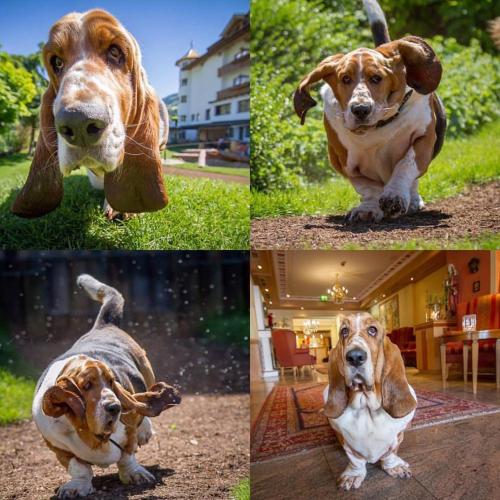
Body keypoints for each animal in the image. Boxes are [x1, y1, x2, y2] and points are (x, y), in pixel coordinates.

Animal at [31, 276, 180, 498]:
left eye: (111, 381)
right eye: (86, 385)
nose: (115, 407)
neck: (89, 432)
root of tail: (103, 325)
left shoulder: (128, 433)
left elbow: (127, 455)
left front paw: (135, 475)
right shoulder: (57, 447)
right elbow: (79, 467)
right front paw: (77, 487)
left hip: (146, 370)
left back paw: (144, 431)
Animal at [292, 0, 446, 223]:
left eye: (376, 78)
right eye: (345, 79)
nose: (360, 109)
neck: (377, 129)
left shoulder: (423, 139)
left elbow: (406, 165)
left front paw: (394, 196)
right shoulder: (343, 162)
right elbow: (367, 187)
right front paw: (369, 208)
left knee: (412, 179)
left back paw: (412, 200)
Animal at [322, 314, 416, 490]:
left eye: (372, 330)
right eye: (344, 331)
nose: (355, 357)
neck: (366, 405)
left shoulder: (397, 437)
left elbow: (390, 454)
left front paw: (395, 467)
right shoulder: (346, 443)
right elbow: (355, 460)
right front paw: (353, 475)